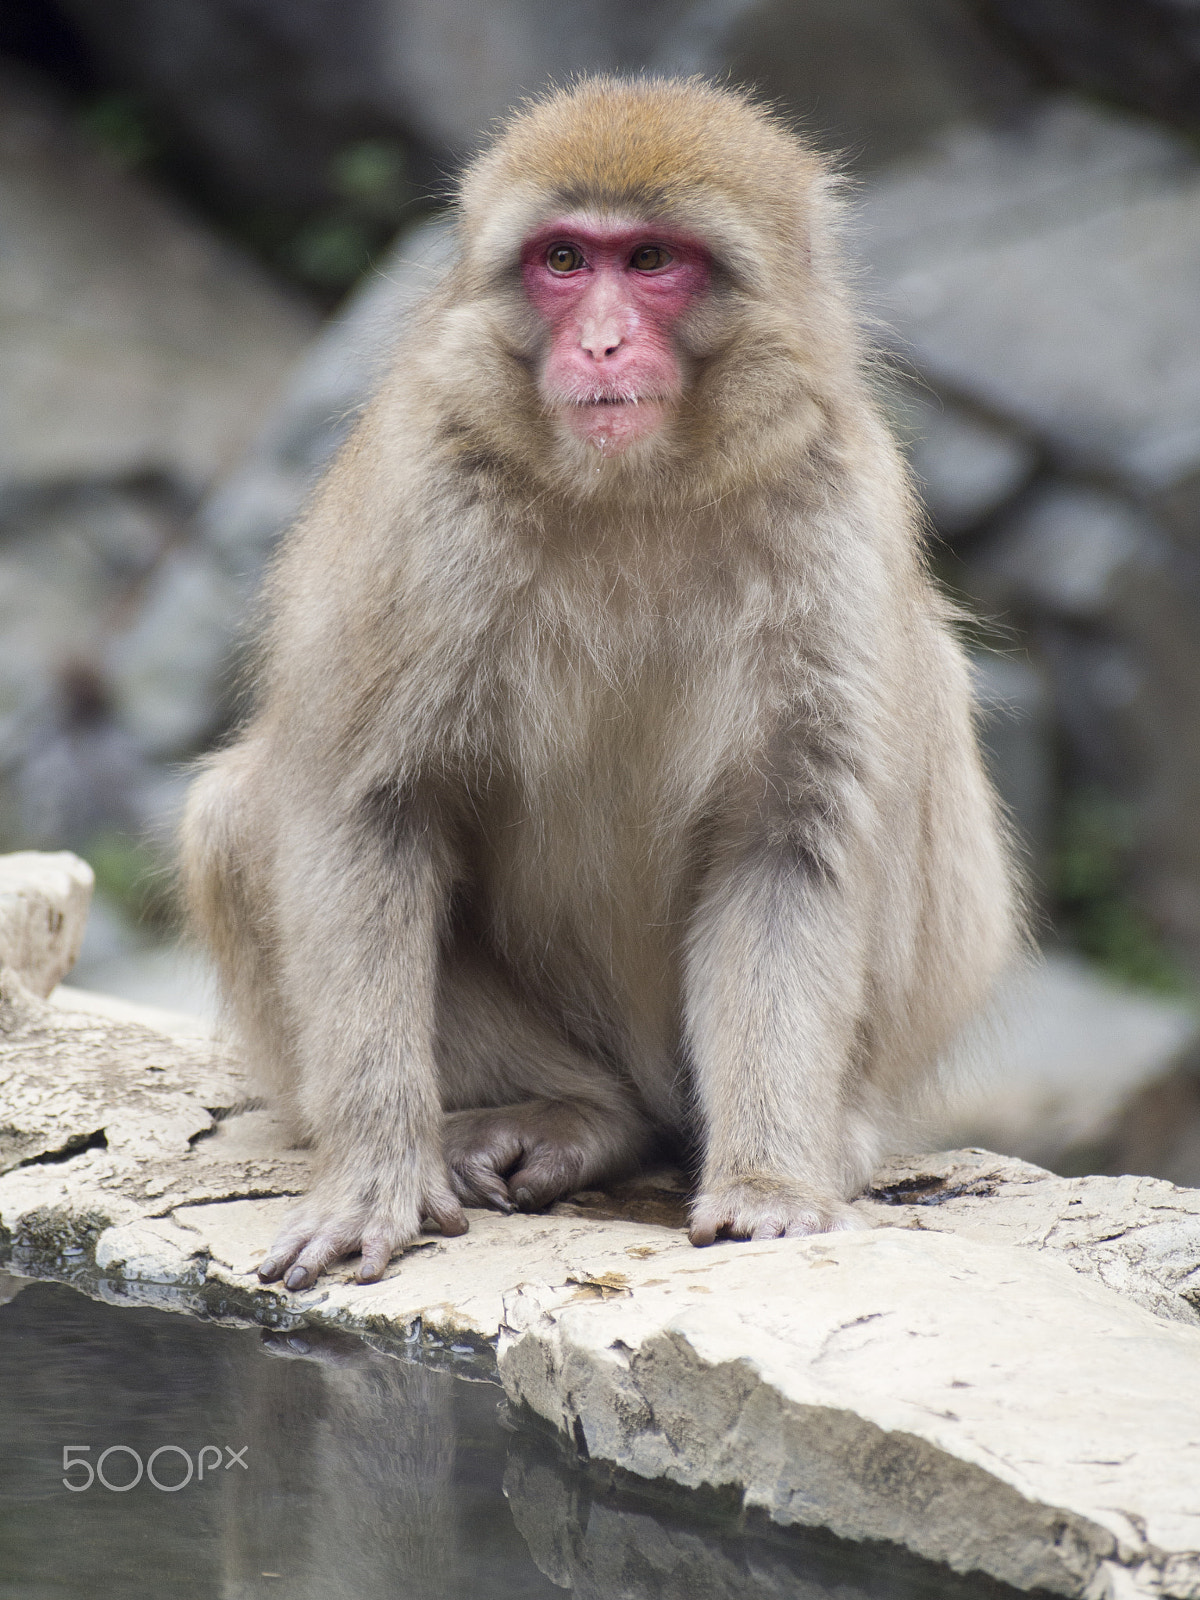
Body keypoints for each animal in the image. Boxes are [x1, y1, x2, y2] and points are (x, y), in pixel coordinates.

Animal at [180, 76, 1019, 1292]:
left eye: (654, 259)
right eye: (566, 260)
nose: (604, 340)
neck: (637, 489)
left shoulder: (834, 511)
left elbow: (788, 838)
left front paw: (770, 1179)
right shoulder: (423, 498)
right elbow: (365, 811)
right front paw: (373, 1172)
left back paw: (820, 1138)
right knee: (238, 817)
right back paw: (579, 1117)